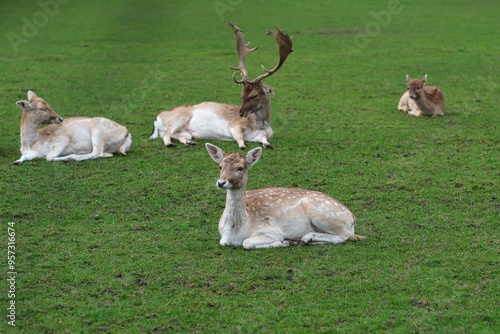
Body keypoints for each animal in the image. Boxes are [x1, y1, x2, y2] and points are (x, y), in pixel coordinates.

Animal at [150, 21, 294, 149]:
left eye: (255, 95)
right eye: (242, 94)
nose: (241, 113)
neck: (258, 125)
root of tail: (157, 120)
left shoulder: (262, 134)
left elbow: (264, 139)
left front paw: (268, 145)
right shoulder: (235, 125)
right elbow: (239, 137)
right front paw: (242, 146)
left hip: (185, 132)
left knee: (181, 137)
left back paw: (191, 143)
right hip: (178, 119)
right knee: (167, 135)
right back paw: (169, 144)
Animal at [205, 142, 366, 249]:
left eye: (240, 168)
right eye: (220, 166)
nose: (221, 182)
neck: (236, 230)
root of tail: (352, 218)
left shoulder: (270, 230)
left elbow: (247, 243)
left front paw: (284, 242)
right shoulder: (223, 237)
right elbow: (224, 242)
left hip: (324, 214)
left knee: (346, 236)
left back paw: (306, 237)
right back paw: (307, 240)